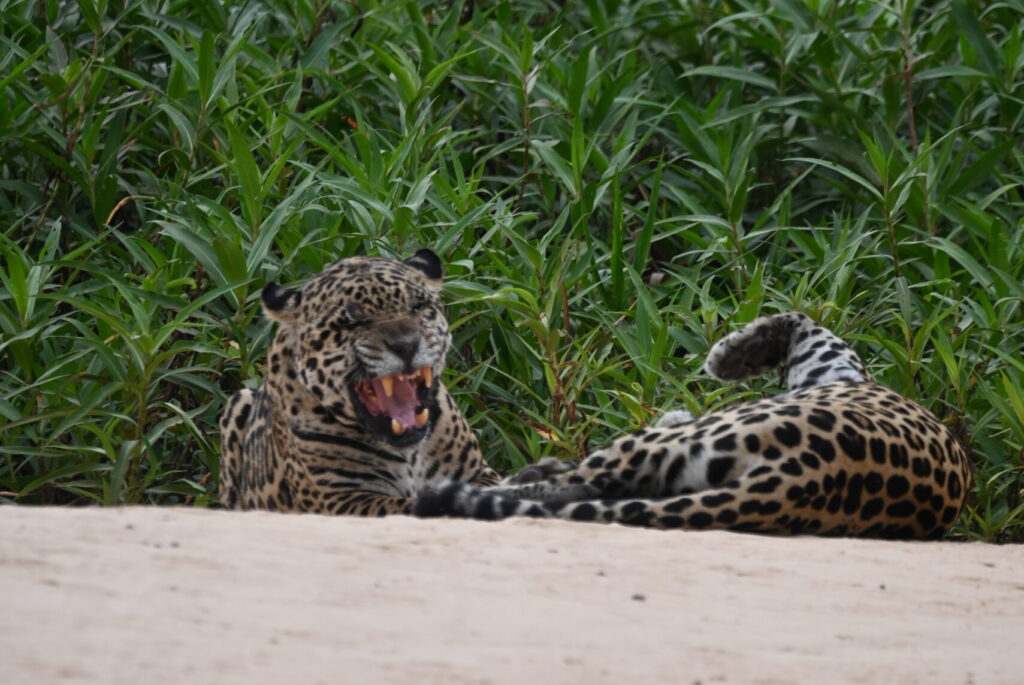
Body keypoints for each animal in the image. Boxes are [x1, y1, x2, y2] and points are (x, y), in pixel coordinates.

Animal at [219, 249, 499, 515]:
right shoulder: (339, 499)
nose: (406, 345)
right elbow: (407, 507)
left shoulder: (478, 473)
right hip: (237, 403)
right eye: (350, 323)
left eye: (418, 307)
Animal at [414, 312, 972, 539]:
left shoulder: (834, 365)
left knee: (578, 480)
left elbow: (800, 318)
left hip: (665, 446)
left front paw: (727, 356)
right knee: (583, 489)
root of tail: (809, 480)